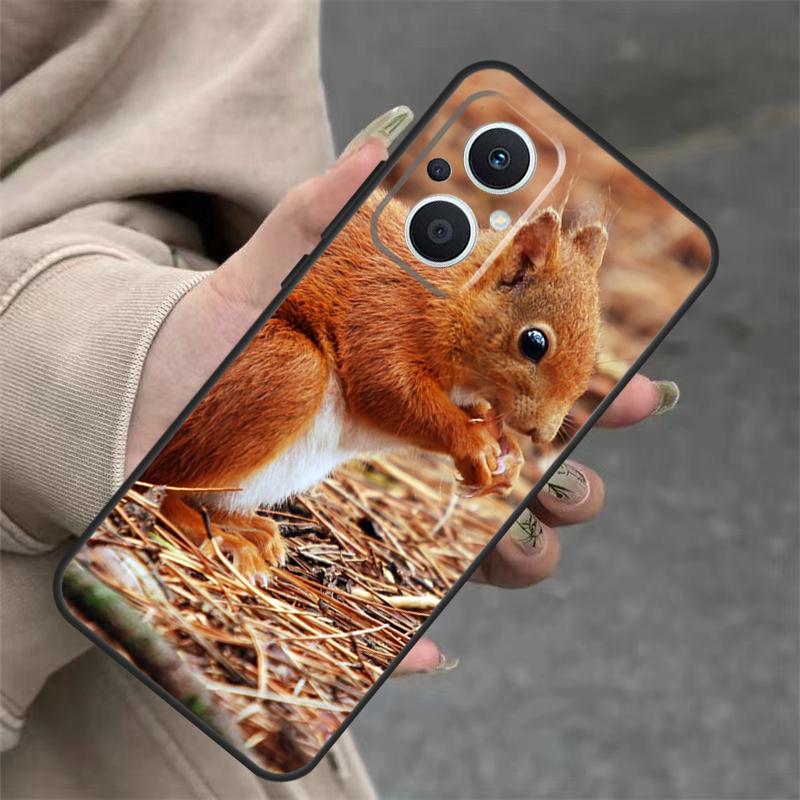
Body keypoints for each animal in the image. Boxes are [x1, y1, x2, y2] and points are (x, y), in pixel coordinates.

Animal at [144, 193, 608, 586]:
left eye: (595, 355)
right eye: (534, 342)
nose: (543, 435)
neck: (451, 294)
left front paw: (509, 459)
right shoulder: (383, 313)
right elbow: (387, 388)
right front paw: (474, 445)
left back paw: (250, 529)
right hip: (290, 371)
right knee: (168, 495)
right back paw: (218, 539)